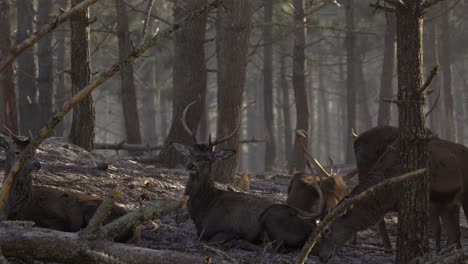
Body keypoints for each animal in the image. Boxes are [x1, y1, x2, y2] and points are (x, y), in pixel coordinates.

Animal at [0, 131, 139, 242]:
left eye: (34, 151)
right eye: (17, 152)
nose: (37, 165)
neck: (21, 205)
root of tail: (135, 229)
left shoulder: (58, 218)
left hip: (92, 209)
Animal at [172, 100, 322, 250]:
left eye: (208, 158)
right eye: (190, 154)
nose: (190, 165)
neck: (203, 211)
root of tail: (313, 227)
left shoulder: (230, 229)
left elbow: (210, 240)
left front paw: (233, 241)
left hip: (273, 215)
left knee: (275, 247)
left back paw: (241, 243)